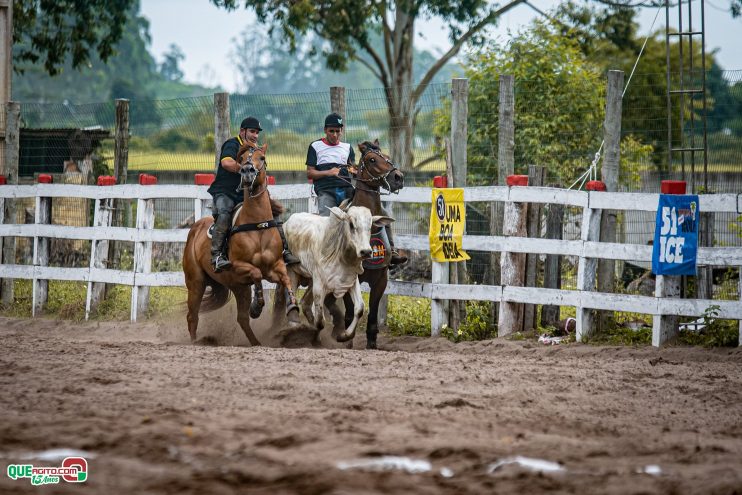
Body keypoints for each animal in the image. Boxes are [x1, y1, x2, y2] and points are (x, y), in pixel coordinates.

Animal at [183, 142, 300, 344]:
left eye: (262, 157)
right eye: (242, 159)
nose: (247, 171)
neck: (257, 224)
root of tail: (195, 229)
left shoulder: (275, 266)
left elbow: (285, 278)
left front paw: (292, 307)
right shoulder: (239, 266)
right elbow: (256, 274)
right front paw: (257, 306)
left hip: (236, 286)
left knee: (242, 319)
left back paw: (256, 342)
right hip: (196, 281)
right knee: (193, 316)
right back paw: (196, 341)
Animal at [280, 203, 396, 342]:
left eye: (370, 225)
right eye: (351, 224)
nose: (366, 252)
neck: (340, 256)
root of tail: (288, 222)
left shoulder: (352, 281)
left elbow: (359, 308)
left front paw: (344, 336)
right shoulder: (319, 286)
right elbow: (320, 320)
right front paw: (316, 337)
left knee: (305, 304)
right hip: (293, 272)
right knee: (292, 302)